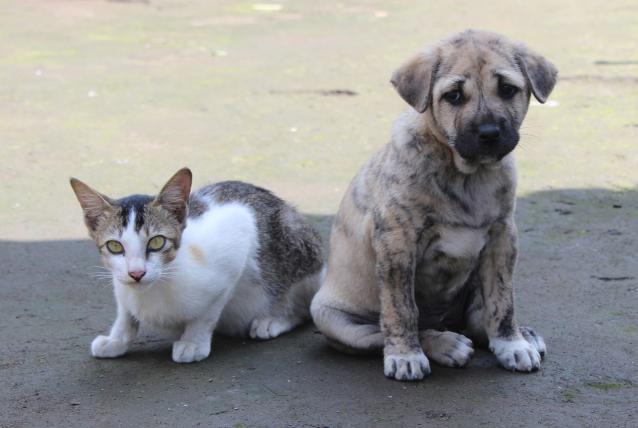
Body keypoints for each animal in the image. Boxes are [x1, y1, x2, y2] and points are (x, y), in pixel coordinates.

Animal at [70, 169, 324, 362]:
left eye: (157, 242)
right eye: (114, 246)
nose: (136, 273)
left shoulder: (237, 238)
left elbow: (208, 313)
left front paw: (193, 342)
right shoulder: (120, 282)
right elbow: (125, 312)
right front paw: (116, 339)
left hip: (296, 244)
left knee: (303, 306)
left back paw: (274, 319)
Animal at [312, 30, 556, 382]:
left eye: (508, 89)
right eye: (453, 96)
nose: (489, 133)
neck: (466, 175)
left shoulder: (502, 237)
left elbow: (502, 300)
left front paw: (511, 343)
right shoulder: (397, 243)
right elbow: (401, 309)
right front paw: (405, 356)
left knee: (477, 318)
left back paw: (521, 335)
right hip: (333, 318)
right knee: (385, 331)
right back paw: (445, 344)